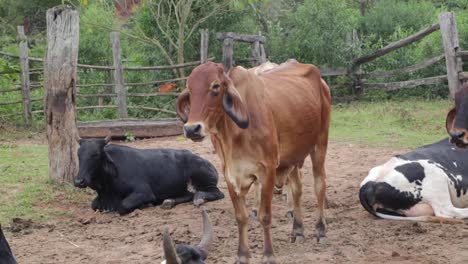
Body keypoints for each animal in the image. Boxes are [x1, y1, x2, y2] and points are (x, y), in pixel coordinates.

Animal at [75, 135, 225, 216]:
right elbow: (93, 204)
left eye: (95, 155)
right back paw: (168, 202)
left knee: (216, 193)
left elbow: (123, 205)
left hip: (204, 180)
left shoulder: (144, 192)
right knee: (188, 194)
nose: (78, 181)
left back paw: (199, 198)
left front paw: (145, 205)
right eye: (78, 154)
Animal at [176, 60, 332, 264]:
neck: (234, 135)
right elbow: (241, 217)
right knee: (297, 190)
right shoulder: (229, 174)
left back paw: (320, 230)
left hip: (320, 144)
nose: (192, 129)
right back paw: (297, 230)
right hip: (294, 156)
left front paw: (268, 255)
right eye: (190, 89)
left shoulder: (268, 170)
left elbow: (264, 215)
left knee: (319, 186)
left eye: (215, 86)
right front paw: (242, 255)